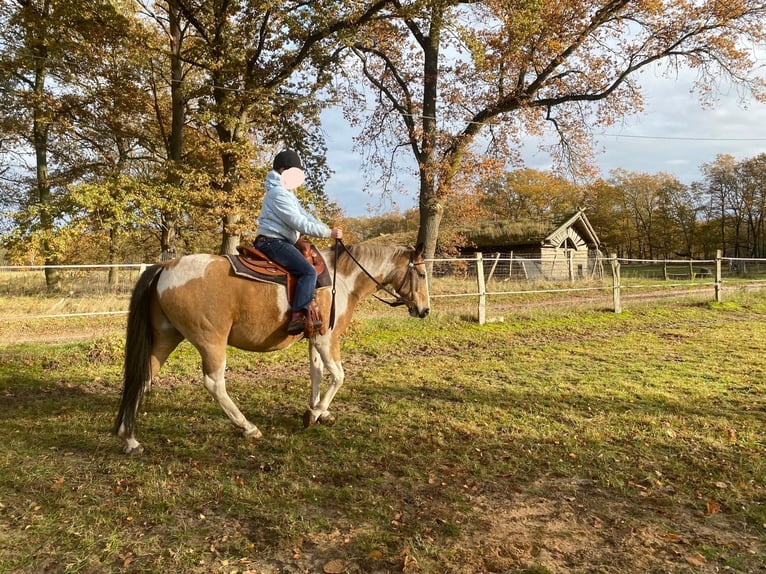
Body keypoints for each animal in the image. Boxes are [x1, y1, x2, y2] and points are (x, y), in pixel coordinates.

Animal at [112, 242, 432, 454]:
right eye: (422, 274)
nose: (425, 310)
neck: (341, 281)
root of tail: (165, 267)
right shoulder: (327, 339)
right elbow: (339, 376)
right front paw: (315, 414)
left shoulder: (314, 339)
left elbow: (317, 373)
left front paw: (317, 410)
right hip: (211, 341)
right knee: (214, 383)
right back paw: (248, 427)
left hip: (166, 337)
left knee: (142, 378)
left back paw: (129, 438)